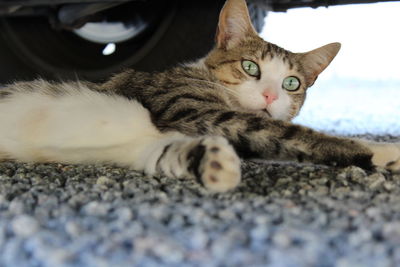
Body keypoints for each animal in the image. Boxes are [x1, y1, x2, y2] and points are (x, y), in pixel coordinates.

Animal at [0, 0, 398, 194]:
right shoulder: (187, 107)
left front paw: (214, 163)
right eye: (250, 67)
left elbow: (167, 154)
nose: (270, 95)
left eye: (291, 83)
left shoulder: (156, 142)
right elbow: (295, 135)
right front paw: (382, 149)